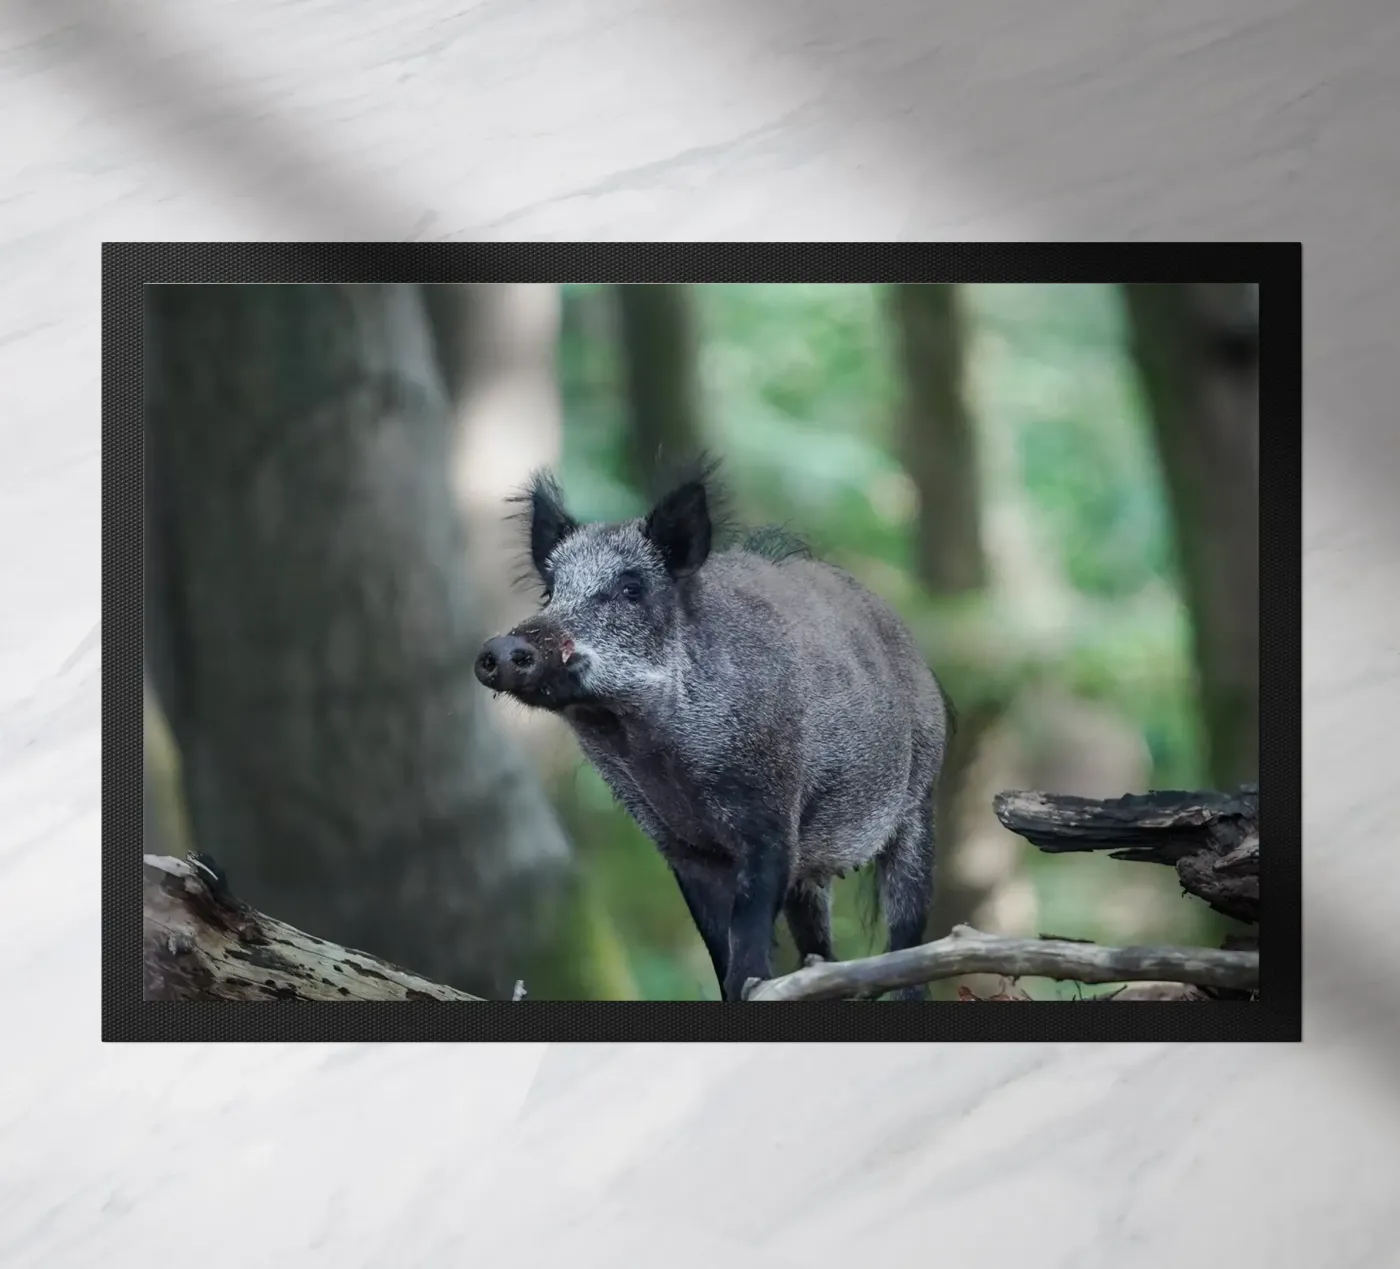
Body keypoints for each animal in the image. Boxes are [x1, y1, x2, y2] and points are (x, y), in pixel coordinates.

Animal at [474, 464, 951, 1001]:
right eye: (549, 591)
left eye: (632, 588)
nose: (501, 648)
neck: (655, 750)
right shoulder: (679, 844)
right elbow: (715, 938)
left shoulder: (771, 815)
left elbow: (749, 922)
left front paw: (752, 986)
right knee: (819, 943)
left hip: (918, 802)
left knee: (907, 931)